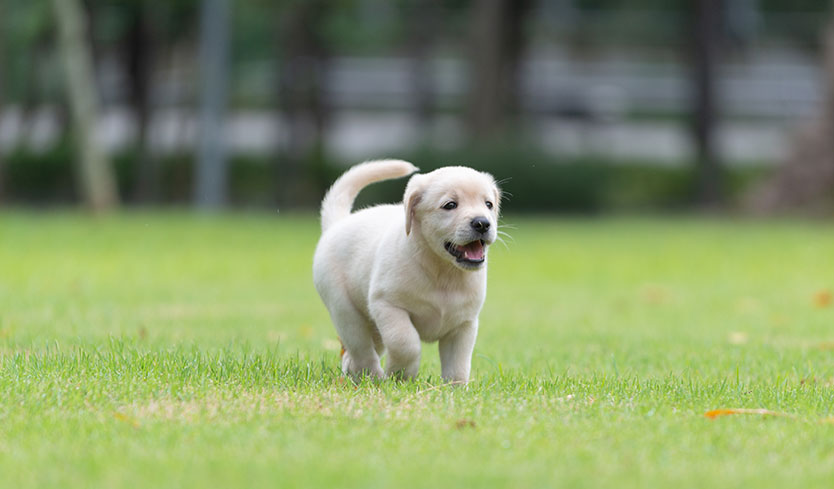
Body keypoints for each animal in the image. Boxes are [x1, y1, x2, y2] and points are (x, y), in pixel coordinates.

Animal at [308, 160, 498, 382]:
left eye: (488, 204)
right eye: (450, 205)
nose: (482, 223)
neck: (442, 271)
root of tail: (337, 224)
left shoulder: (463, 325)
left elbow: (458, 366)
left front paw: (455, 388)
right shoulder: (387, 305)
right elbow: (406, 344)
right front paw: (400, 376)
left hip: (373, 328)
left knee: (352, 356)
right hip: (346, 312)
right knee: (362, 350)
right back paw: (375, 377)